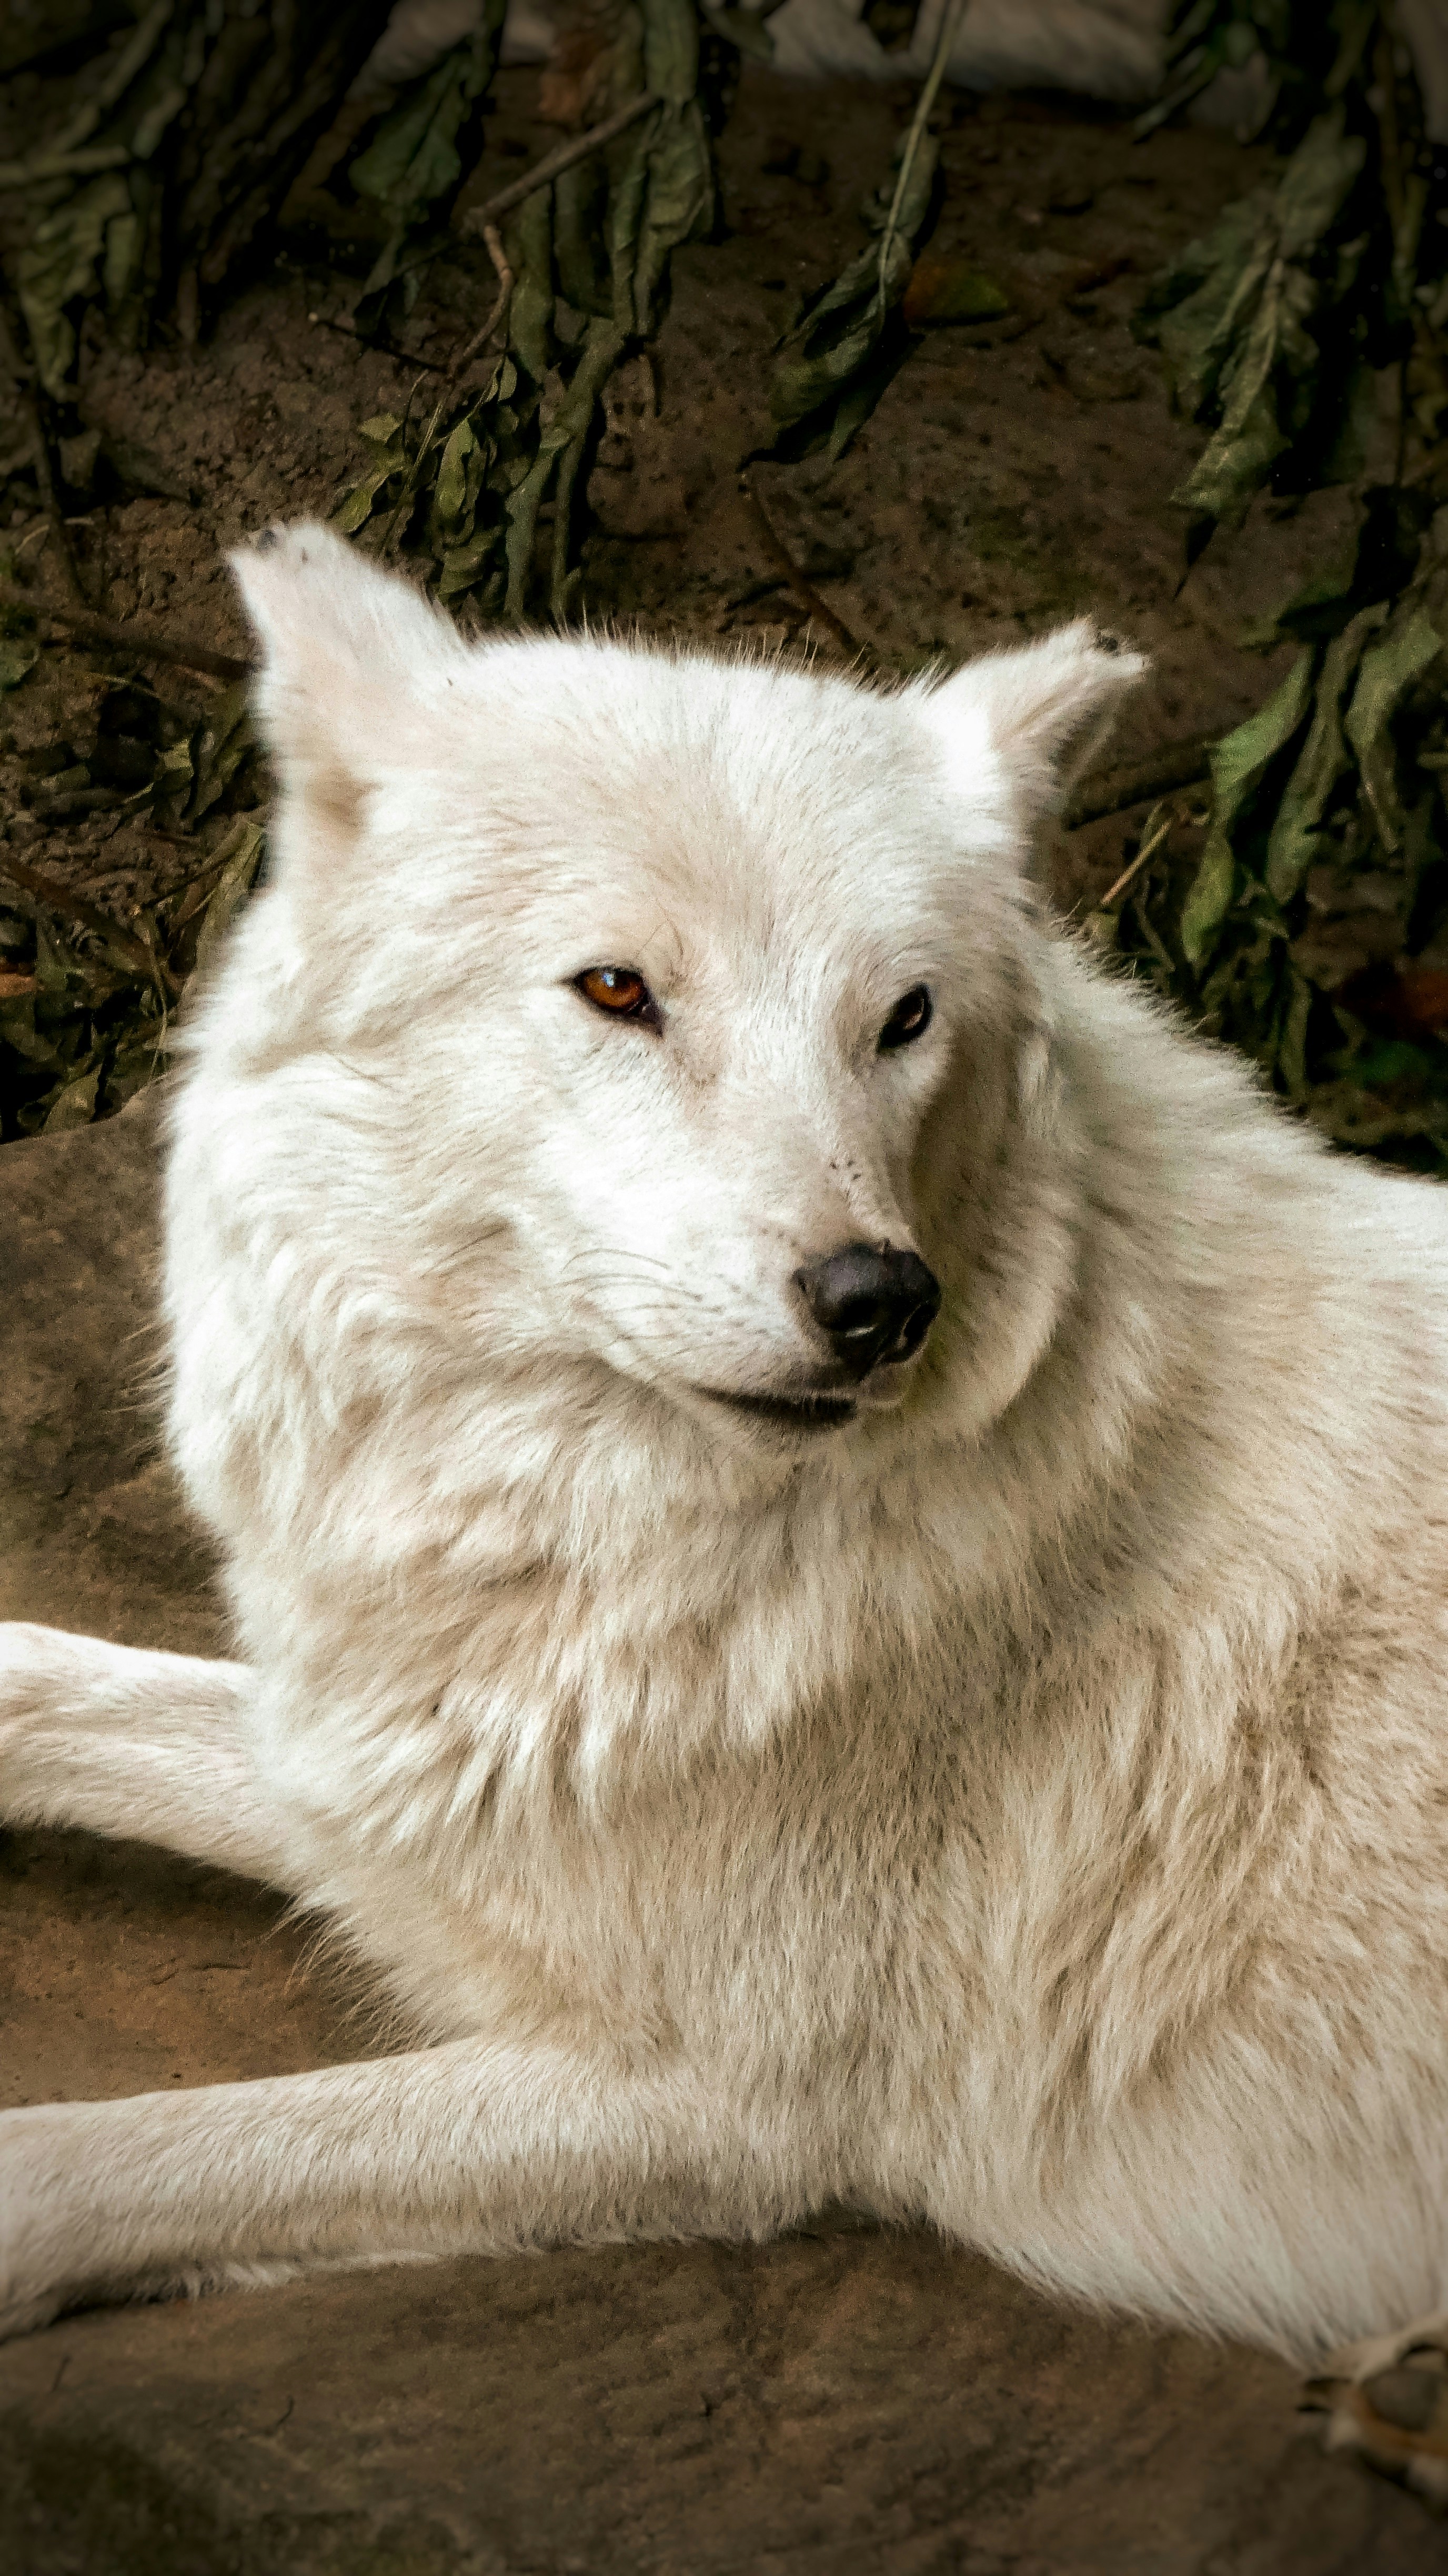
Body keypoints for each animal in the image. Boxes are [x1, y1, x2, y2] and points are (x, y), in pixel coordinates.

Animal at [2, 524, 1447, 2492]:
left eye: (901, 1018)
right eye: (618, 989)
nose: (878, 1300)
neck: (600, 1538)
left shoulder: (716, 2103)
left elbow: (95, 2155)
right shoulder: (417, 1784)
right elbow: (48, 1672)